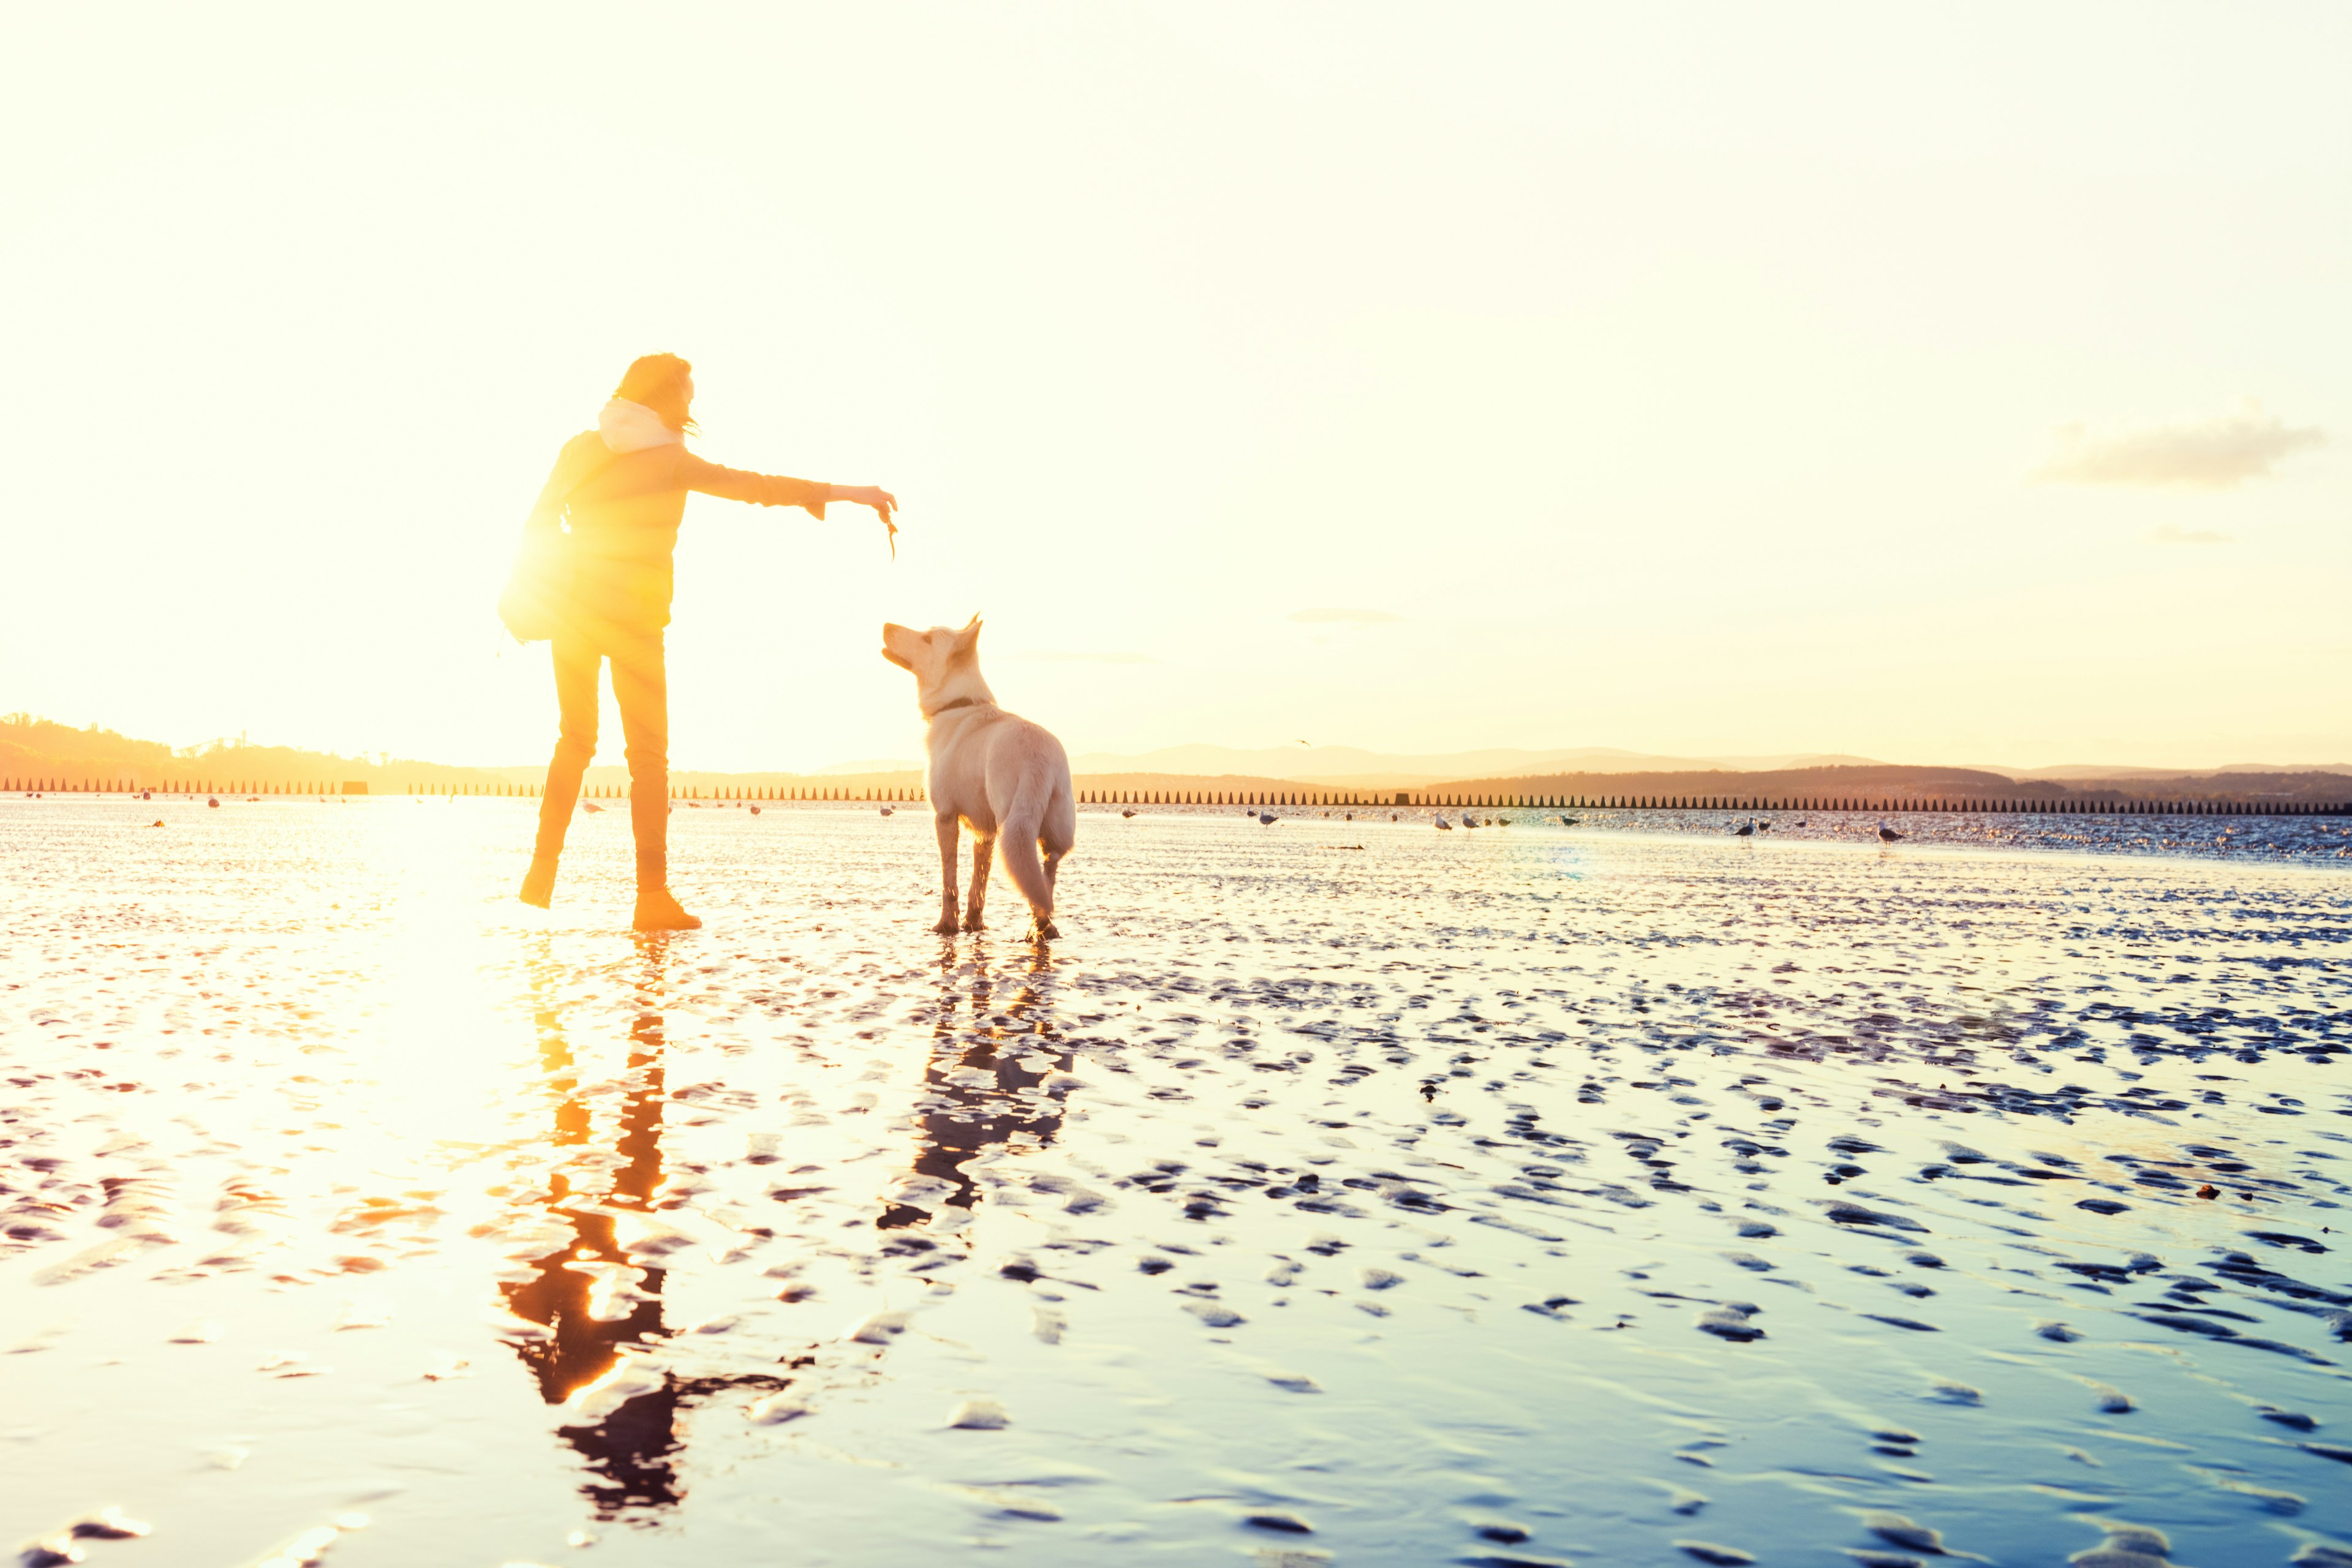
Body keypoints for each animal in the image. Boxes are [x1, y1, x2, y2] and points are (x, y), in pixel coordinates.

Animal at [884, 616, 1077, 940]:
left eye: (927, 639)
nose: (886, 626)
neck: (959, 704)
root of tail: (1037, 758)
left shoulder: (945, 816)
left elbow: (950, 881)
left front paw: (946, 926)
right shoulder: (984, 832)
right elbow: (979, 884)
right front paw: (973, 924)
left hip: (1013, 825)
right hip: (1055, 833)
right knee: (1047, 874)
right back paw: (1042, 927)